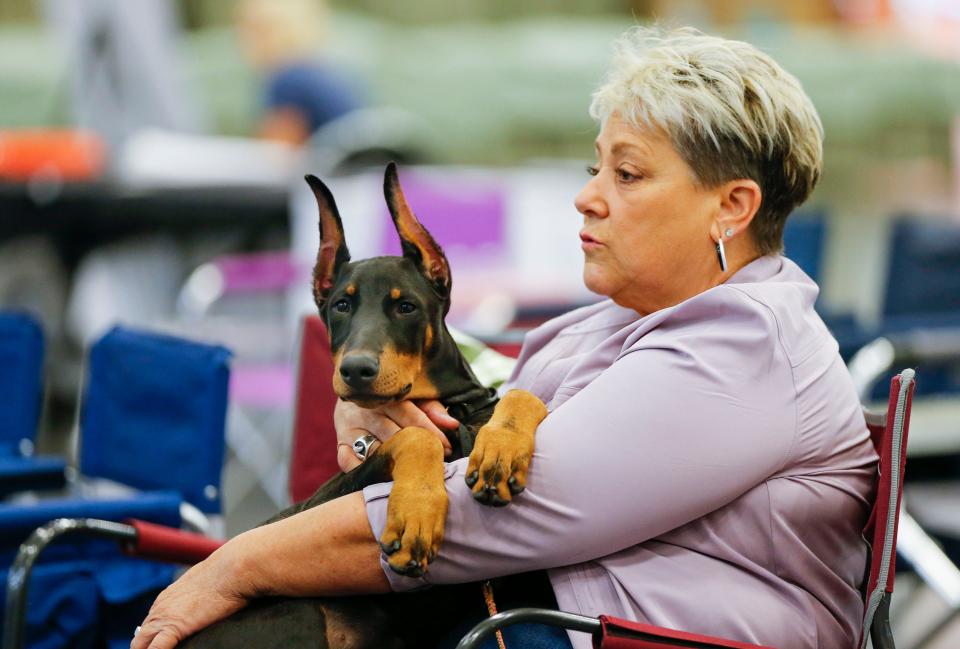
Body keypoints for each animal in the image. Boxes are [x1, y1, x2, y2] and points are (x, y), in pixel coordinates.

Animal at [180, 165, 548, 644]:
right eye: (341, 305)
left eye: (406, 306)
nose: (356, 370)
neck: (455, 413)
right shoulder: (336, 491)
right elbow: (414, 436)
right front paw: (416, 515)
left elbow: (524, 393)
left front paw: (500, 452)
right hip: (299, 615)